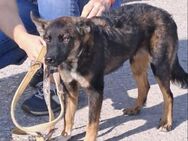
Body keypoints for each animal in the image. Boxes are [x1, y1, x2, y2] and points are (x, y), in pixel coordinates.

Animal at [31, 3, 188, 141]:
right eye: (47, 39)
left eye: (65, 38)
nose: (48, 59)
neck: (78, 55)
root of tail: (167, 15)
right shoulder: (70, 88)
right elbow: (68, 117)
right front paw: (65, 135)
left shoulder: (96, 90)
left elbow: (92, 124)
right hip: (136, 62)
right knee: (145, 86)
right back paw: (135, 109)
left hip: (159, 66)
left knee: (169, 96)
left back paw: (167, 123)